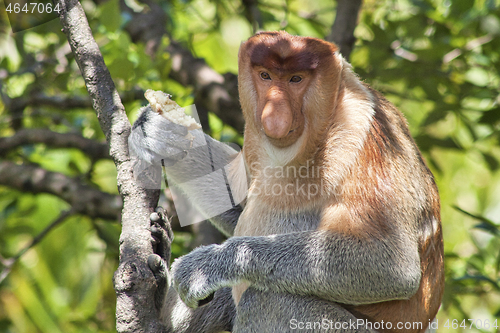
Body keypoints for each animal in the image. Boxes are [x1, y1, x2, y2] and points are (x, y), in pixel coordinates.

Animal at [131, 30, 444, 330]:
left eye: (296, 79)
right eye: (265, 75)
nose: (274, 117)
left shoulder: (363, 133)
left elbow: (393, 264)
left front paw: (204, 267)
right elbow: (238, 202)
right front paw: (157, 132)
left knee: (266, 298)